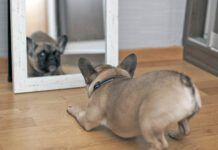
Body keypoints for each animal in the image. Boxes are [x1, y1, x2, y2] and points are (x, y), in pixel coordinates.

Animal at [67, 54, 202, 150]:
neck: (110, 78)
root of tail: (185, 82)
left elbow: (79, 112)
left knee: (159, 144)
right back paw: (176, 134)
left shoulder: (87, 121)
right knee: (186, 130)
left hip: (147, 120)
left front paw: (72, 108)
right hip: (184, 117)